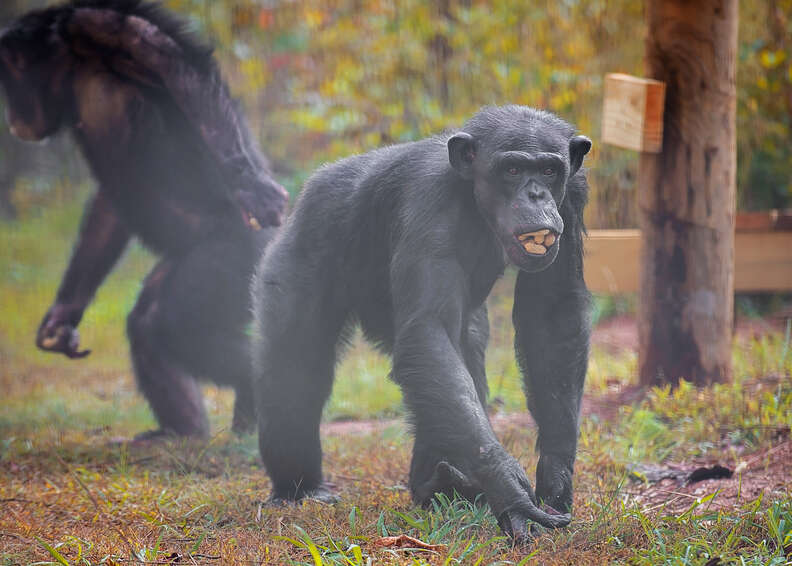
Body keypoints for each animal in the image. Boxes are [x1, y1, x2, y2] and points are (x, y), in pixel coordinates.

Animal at [0, 1, 290, 440]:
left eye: (8, 79)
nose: (11, 115)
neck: (70, 74)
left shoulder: (91, 26)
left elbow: (165, 58)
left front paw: (249, 185)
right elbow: (107, 211)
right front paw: (61, 317)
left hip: (234, 258)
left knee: (171, 324)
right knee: (145, 324)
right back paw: (182, 432)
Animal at [251, 104, 592, 544]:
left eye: (550, 171)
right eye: (513, 170)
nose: (535, 194)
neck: (471, 194)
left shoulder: (574, 194)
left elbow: (552, 314)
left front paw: (555, 475)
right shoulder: (430, 199)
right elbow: (430, 332)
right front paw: (509, 488)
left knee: (459, 362)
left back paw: (442, 485)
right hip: (293, 259)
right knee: (295, 368)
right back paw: (299, 488)